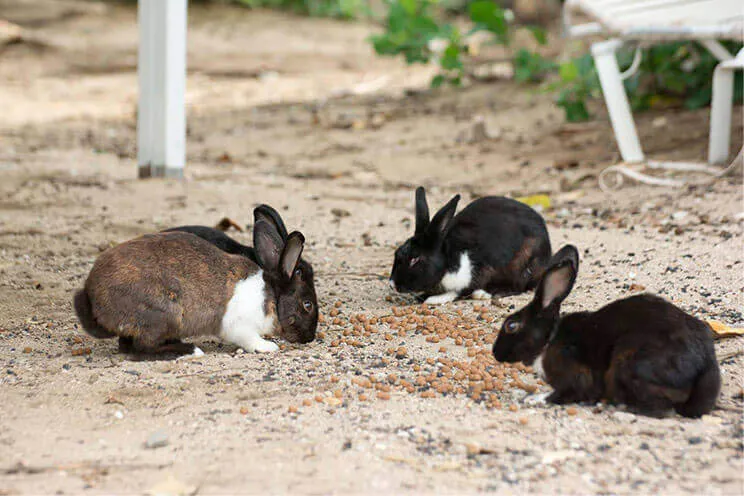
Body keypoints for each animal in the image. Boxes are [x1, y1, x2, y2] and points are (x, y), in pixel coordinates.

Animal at [74, 216, 318, 352]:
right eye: (307, 305)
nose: (309, 338)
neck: (271, 298)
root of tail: (93, 296)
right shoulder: (239, 326)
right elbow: (250, 339)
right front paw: (269, 347)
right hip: (165, 314)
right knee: (141, 347)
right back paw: (190, 350)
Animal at [390, 186, 552, 302]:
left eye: (415, 259)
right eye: (397, 253)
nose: (392, 284)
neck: (447, 260)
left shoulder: (476, 272)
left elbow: (459, 291)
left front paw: (434, 299)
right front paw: (422, 296)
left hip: (524, 263)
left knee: (519, 286)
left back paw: (489, 293)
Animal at [494, 245, 720, 418]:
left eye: (511, 326)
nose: (495, 353)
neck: (550, 339)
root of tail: (702, 369)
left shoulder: (577, 377)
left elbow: (566, 393)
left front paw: (533, 399)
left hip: (628, 363)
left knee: (661, 410)